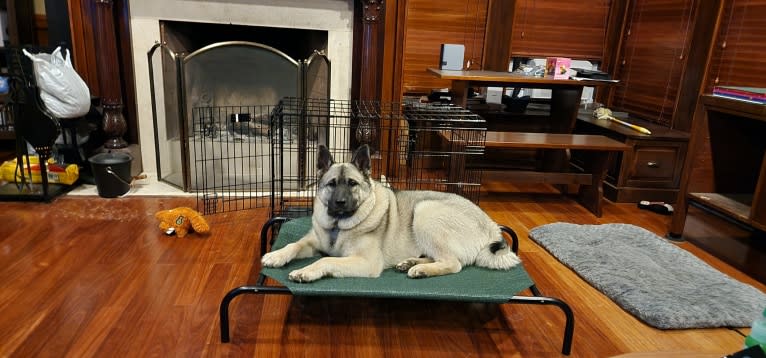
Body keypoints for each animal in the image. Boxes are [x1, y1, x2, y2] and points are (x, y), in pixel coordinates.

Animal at [262, 143, 520, 282]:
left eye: (352, 184)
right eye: (332, 184)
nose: (340, 203)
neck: (338, 227)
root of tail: (491, 228)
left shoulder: (365, 262)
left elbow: (326, 259)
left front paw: (306, 271)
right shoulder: (312, 242)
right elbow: (294, 245)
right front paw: (276, 255)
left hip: (425, 211)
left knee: (453, 263)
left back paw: (421, 269)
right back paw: (410, 262)